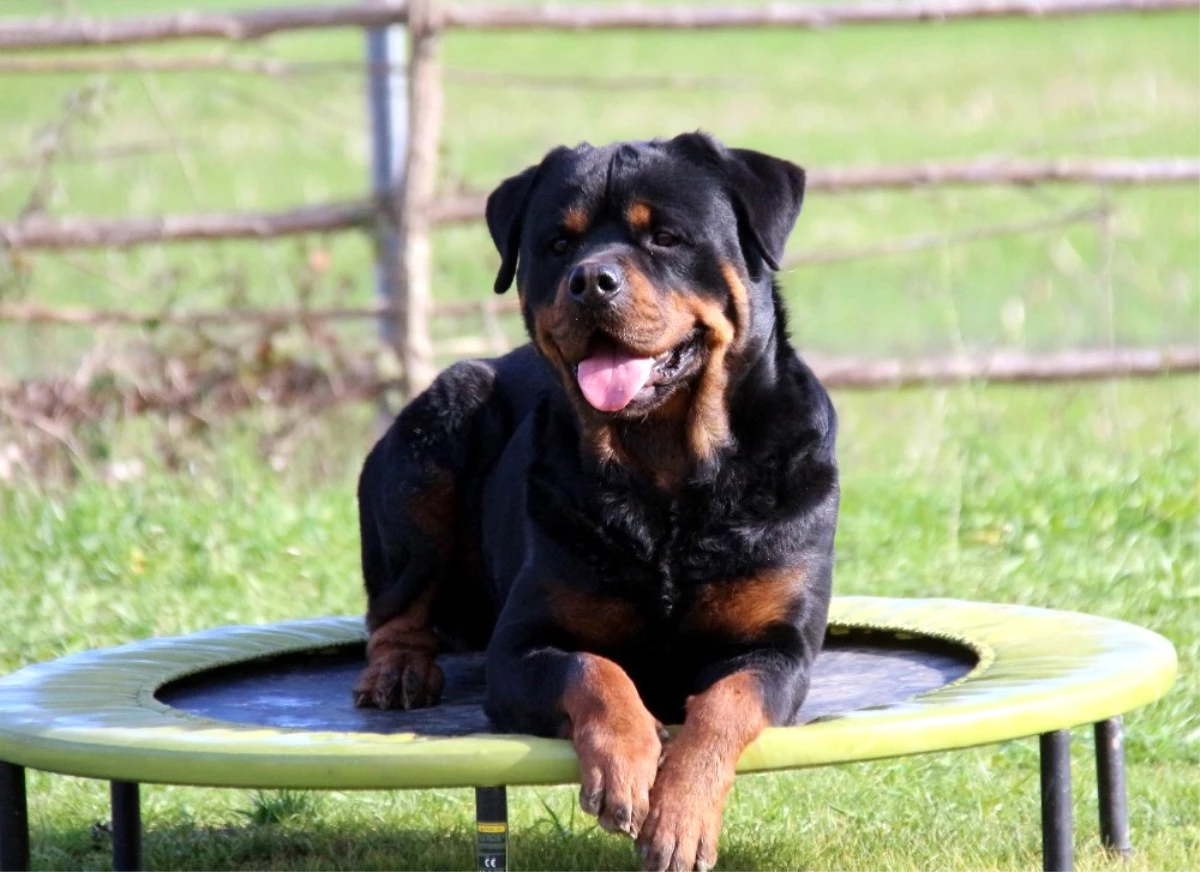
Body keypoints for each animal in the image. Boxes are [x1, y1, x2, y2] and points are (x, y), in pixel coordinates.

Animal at [355, 131, 840, 872]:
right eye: (560, 244)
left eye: (666, 236)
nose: (591, 279)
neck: (666, 474)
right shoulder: (522, 646)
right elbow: (594, 670)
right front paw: (625, 768)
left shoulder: (775, 645)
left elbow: (724, 702)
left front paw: (681, 815)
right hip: (437, 430)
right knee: (393, 608)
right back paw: (401, 669)